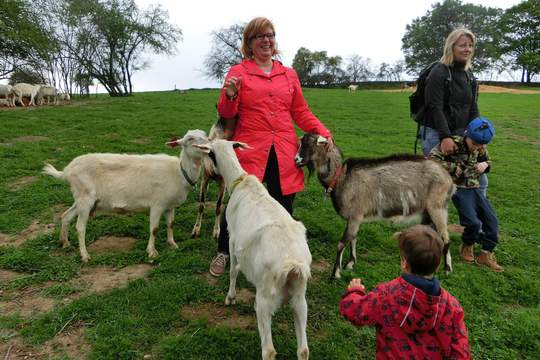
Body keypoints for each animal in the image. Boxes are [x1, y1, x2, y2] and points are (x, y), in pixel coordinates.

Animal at [42, 129, 209, 262]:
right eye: (190, 139)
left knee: (66, 216)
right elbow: (154, 229)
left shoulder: (170, 206)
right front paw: (152, 252)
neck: (180, 172)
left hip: (81, 198)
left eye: (205, 135)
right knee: (80, 227)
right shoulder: (157, 204)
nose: (208, 145)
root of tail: (67, 170)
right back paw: (84, 255)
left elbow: (170, 224)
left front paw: (172, 244)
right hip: (85, 199)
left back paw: (65, 243)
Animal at [196, 139, 310, 360]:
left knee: (269, 350)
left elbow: (233, 270)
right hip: (300, 301)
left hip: (266, 299)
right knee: (303, 350)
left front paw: (230, 297)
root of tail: (291, 265)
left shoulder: (232, 237)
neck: (240, 182)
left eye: (209, 152)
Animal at [296, 134, 456, 280]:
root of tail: (448, 177)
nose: (296, 160)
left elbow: (342, 243)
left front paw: (335, 274)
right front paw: (350, 263)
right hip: (427, 213)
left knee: (445, 238)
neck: (341, 178)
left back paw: (447, 270)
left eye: (309, 144)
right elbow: (353, 238)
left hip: (438, 207)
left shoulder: (356, 215)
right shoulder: (355, 218)